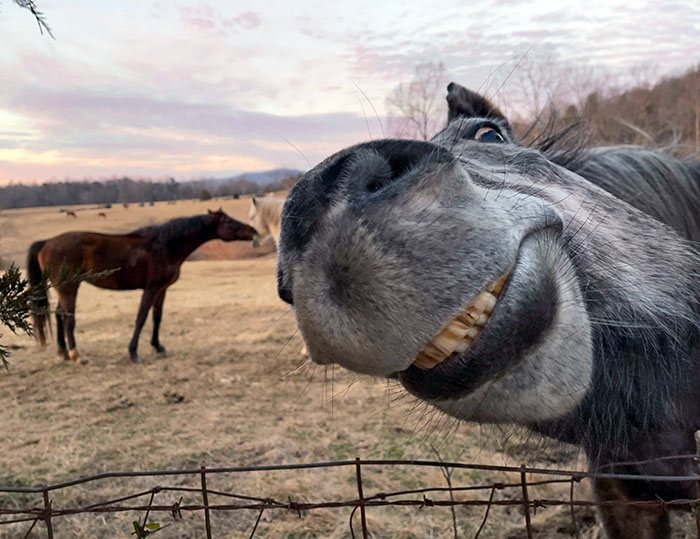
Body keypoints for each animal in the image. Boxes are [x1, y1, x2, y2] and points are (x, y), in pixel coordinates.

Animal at [28, 209, 258, 364]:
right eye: (227, 220)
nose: (253, 231)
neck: (166, 245)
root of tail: (47, 242)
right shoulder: (151, 288)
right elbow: (141, 318)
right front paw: (133, 353)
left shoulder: (162, 289)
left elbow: (157, 318)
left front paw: (158, 346)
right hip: (70, 289)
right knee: (68, 318)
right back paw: (76, 355)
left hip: (63, 290)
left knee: (58, 315)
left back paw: (63, 352)